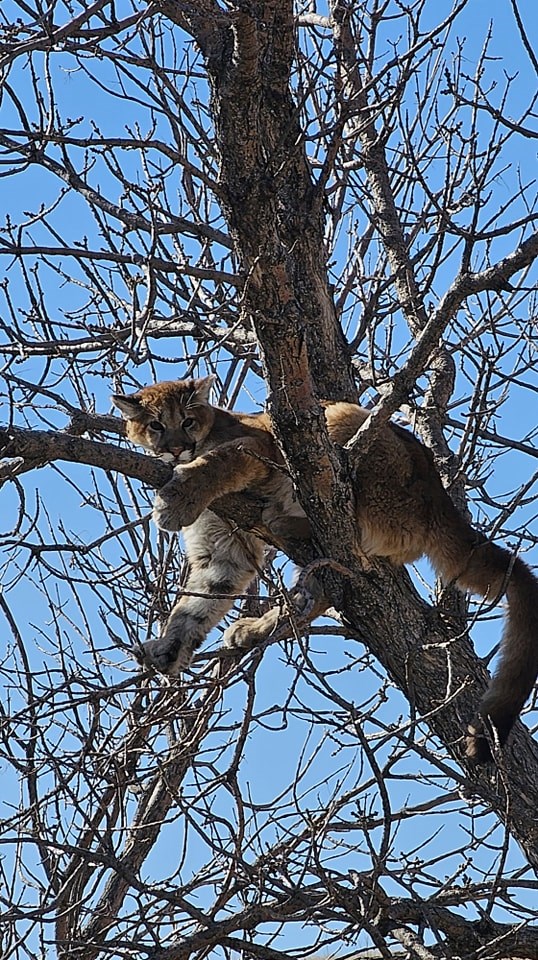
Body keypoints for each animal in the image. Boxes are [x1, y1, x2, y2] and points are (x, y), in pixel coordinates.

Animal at [112, 378, 536, 760]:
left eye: (187, 420)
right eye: (155, 425)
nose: (176, 449)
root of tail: (439, 497)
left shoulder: (255, 447)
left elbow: (218, 462)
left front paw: (176, 498)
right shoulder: (221, 550)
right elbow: (197, 605)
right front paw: (170, 646)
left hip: (342, 422)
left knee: (340, 513)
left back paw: (287, 520)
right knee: (317, 595)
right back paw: (253, 628)